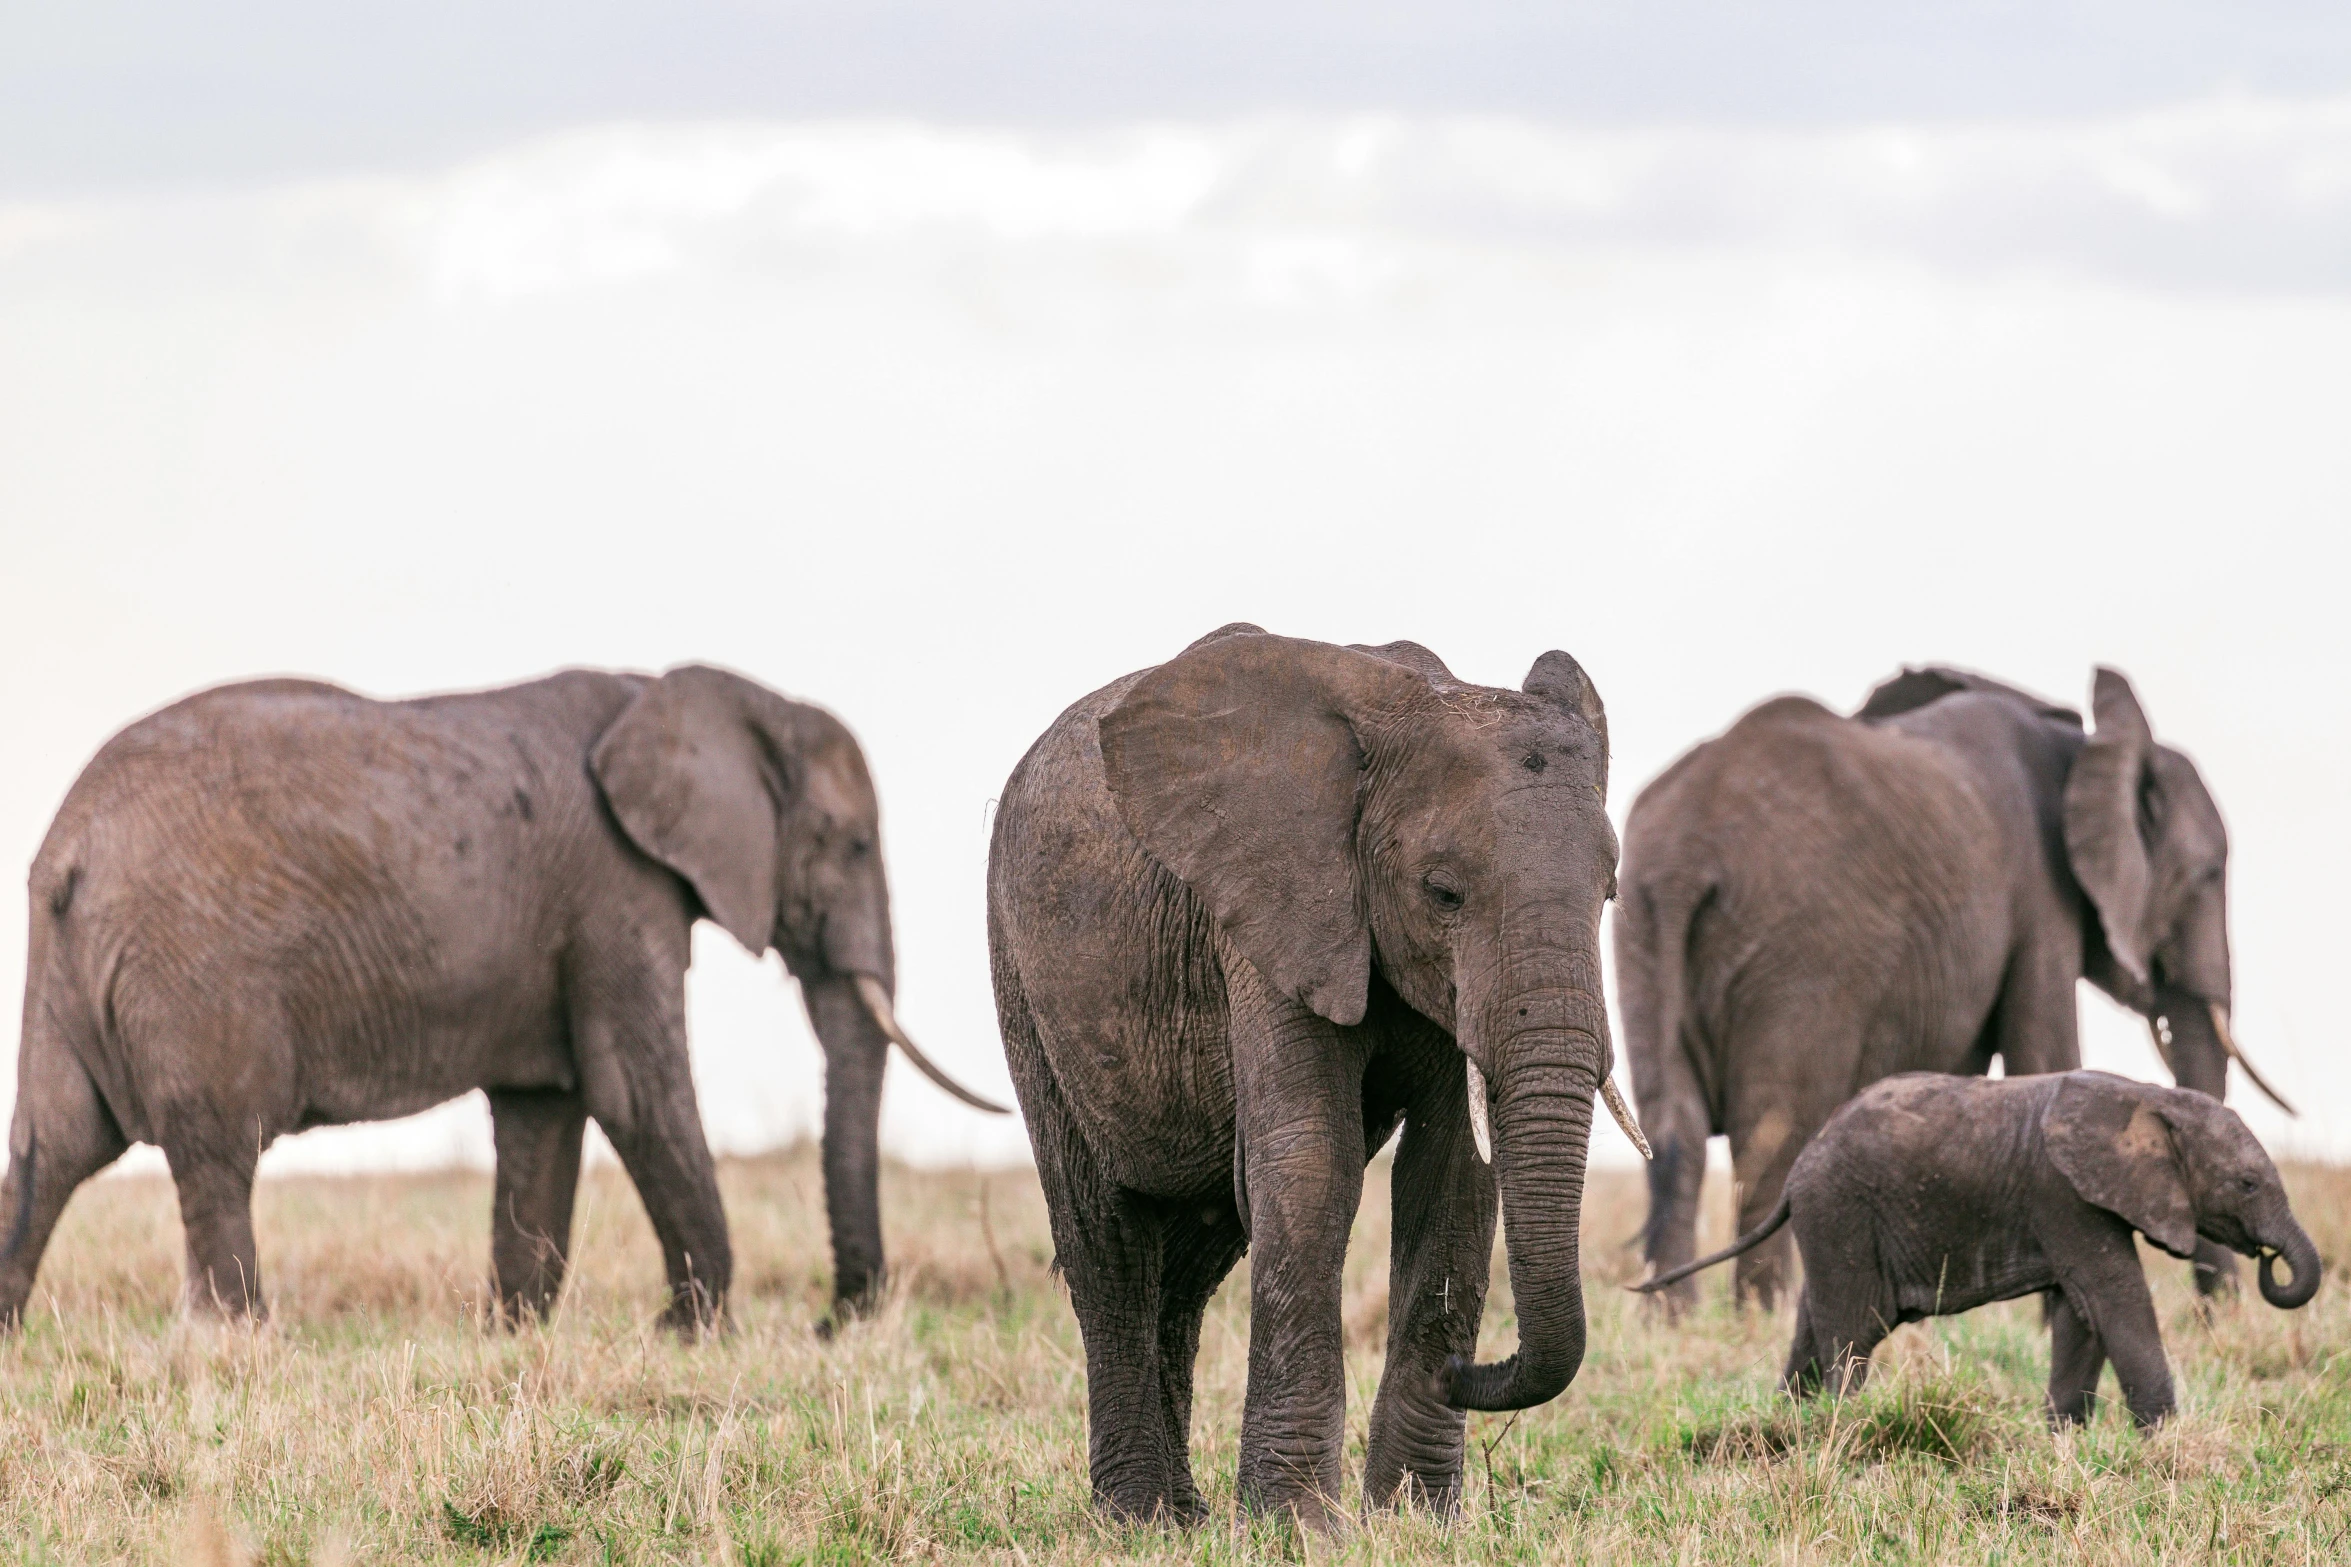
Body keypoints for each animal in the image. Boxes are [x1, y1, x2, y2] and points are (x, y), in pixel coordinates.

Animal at [0, 662, 1001, 1334]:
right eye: (854, 844)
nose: (836, 1322)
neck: (711, 695)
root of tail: (71, 846)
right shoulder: (616, 889)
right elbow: (634, 1091)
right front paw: (698, 1337)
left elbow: (544, 1111)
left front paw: (513, 1334)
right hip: (195, 968)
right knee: (216, 1147)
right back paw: (238, 1341)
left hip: (73, 964)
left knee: (52, 1146)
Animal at [992, 629, 1655, 1531]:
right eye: (1442, 891)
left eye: (1609, 890)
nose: (1465, 1371)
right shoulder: (1272, 909)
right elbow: (1310, 1163)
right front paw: (1295, 1522)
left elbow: (1453, 1177)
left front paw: (1415, 1518)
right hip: (1022, 978)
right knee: (1109, 1243)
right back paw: (1138, 1517)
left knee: (1192, 1261)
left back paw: (1189, 1515)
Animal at [1608, 667, 2285, 1315]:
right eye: (2209, 874)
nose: (2218, 1316)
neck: (2086, 745)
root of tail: (1685, 857)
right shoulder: (2042, 897)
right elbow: (2045, 1056)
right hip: (1797, 948)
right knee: (1769, 1133)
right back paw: (1759, 1316)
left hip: (1641, 923)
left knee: (1674, 1128)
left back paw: (1672, 1318)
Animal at [1626, 1071, 2322, 1428]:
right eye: (2248, 1184)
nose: (2269, 1260)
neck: (2148, 1097)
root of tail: (1799, 1169)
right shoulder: (2062, 1192)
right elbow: (2113, 1294)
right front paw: (2164, 1437)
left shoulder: (2073, 1202)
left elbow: (2081, 1311)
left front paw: (2064, 1435)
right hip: (1841, 1209)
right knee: (1851, 1325)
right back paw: (1841, 1427)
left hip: (1835, 1221)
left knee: (1817, 1316)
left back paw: (1788, 1421)